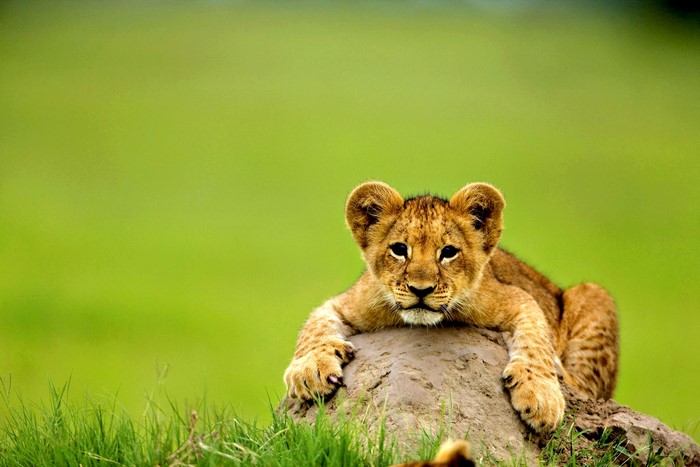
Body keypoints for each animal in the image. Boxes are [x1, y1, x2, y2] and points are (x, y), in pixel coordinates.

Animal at [283, 181, 619, 433]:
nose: (421, 289)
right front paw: (310, 370)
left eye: (448, 252)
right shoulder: (349, 302)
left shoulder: (517, 297)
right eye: (399, 250)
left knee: (586, 388)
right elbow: (314, 327)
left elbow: (537, 341)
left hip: (593, 293)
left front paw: (540, 395)